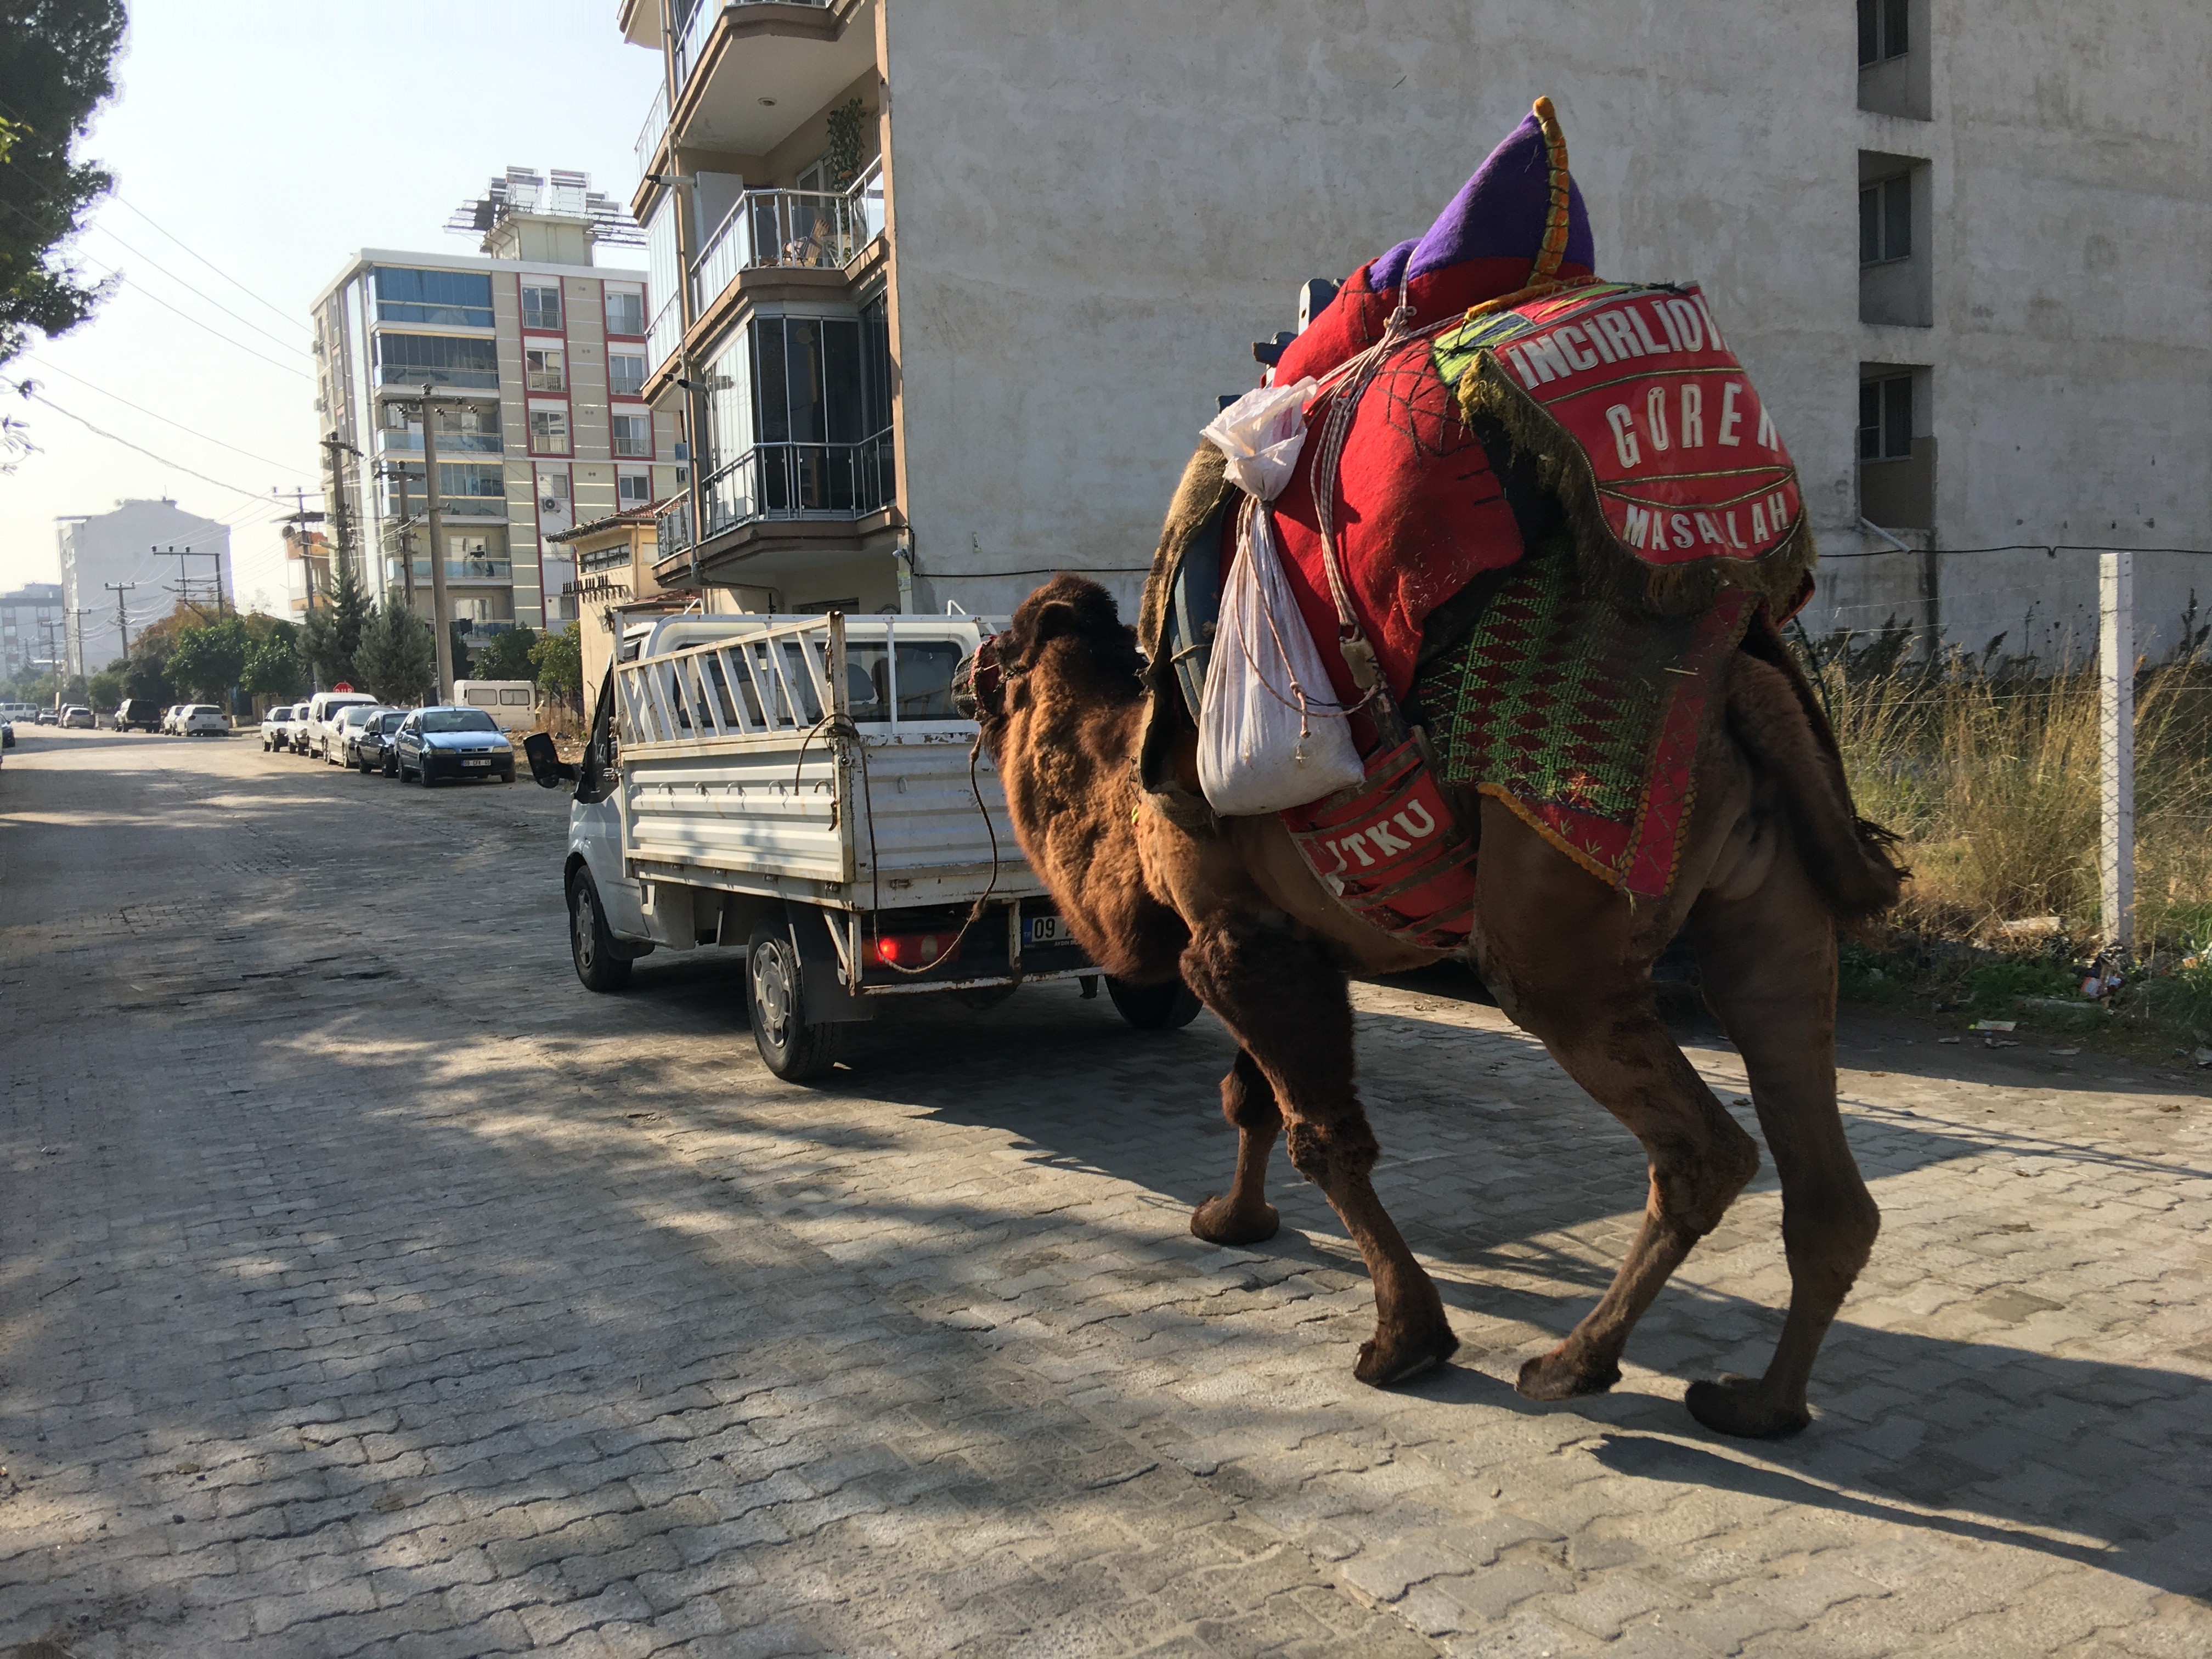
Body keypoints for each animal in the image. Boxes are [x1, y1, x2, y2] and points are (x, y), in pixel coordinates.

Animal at [978, 566, 1911, 1433]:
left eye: (1001, 650)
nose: (965, 678)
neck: (1127, 785)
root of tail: (1741, 690)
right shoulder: (1268, 931)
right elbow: (1254, 1100)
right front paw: (1233, 1219)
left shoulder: (1233, 940)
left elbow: (1323, 1138)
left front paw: (1404, 1340)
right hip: (1773, 916)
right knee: (1817, 1155)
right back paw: (1761, 1404)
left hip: (1556, 934)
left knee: (1701, 1148)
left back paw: (1571, 1365)